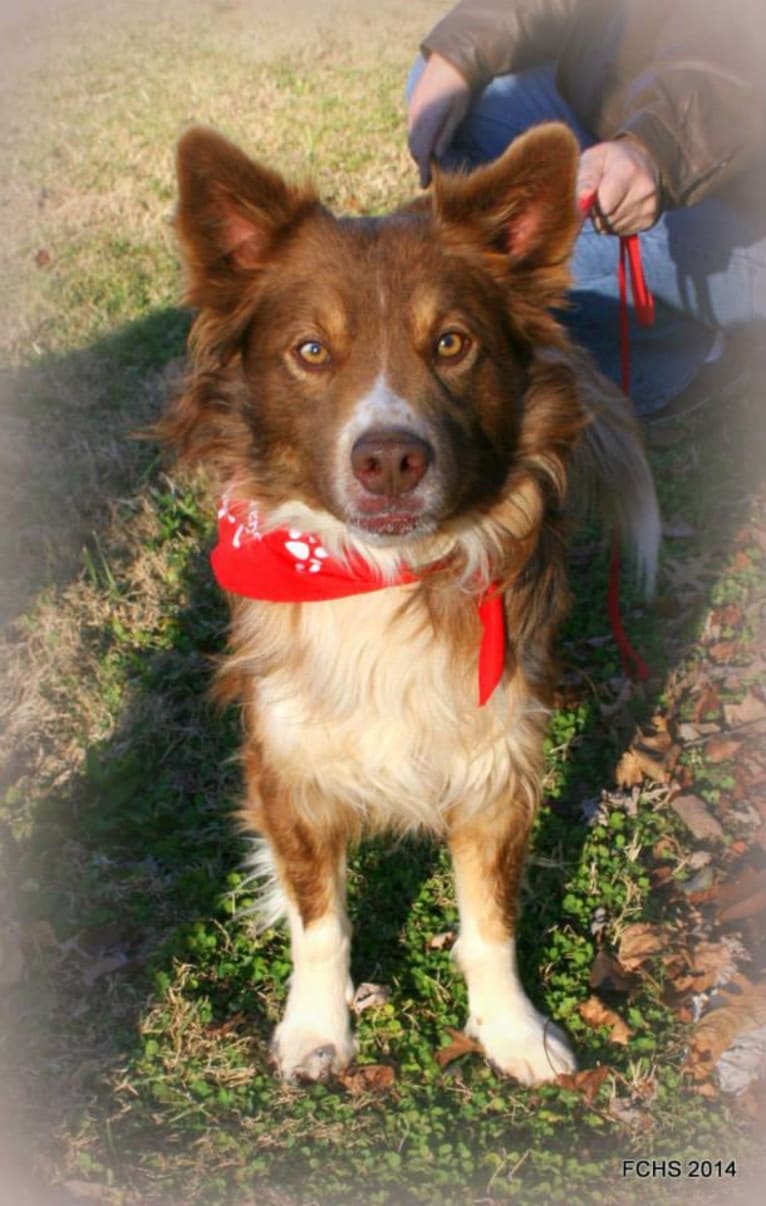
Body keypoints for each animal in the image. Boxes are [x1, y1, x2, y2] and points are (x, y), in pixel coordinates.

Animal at [160, 119, 661, 1085]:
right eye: (311, 351)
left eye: (454, 345)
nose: (390, 459)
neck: (382, 575)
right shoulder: (288, 763)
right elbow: (320, 921)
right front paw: (316, 1030)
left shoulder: (500, 756)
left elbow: (492, 921)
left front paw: (510, 1029)